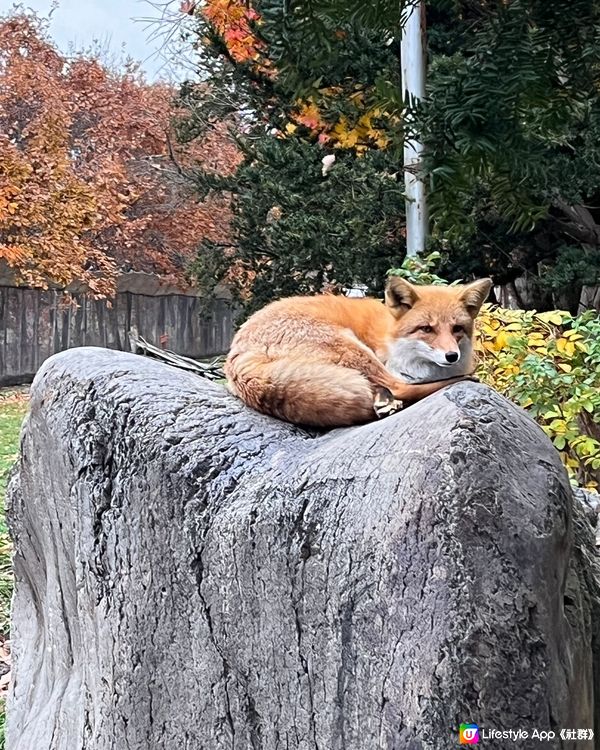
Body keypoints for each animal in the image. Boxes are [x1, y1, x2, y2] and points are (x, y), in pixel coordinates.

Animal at [225, 276, 492, 428]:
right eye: (427, 329)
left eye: (457, 329)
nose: (452, 356)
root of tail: (236, 351)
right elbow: (405, 384)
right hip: (352, 346)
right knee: (399, 387)